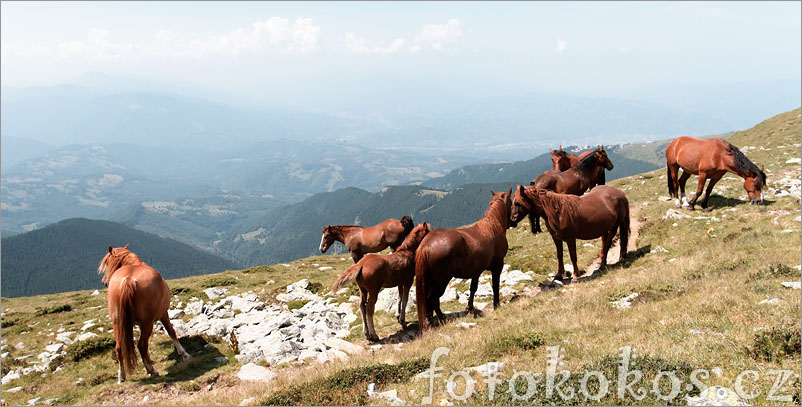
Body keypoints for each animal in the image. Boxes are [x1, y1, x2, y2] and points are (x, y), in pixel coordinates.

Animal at [97, 245, 189, 386]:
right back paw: (152, 370)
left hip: (117, 322)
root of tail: (128, 280)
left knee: (119, 348)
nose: (104, 282)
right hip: (147, 322)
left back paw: (122, 376)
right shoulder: (163, 313)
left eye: (108, 263)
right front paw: (184, 353)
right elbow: (171, 331)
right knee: (141, 345)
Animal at [412, 190, 512, 330]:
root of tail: (426, 245)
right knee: (433, 300)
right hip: (441, 282)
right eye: (512, 202)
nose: (513, 220)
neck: (492, 226)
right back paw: (442, 320)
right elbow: (495, 286)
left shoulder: (476, 271)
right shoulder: (497, 266)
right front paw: (496, 305)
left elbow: (473, 288)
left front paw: (470, 308)